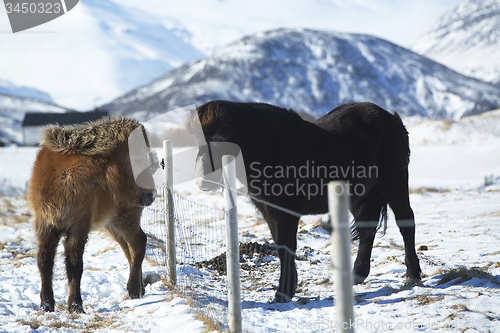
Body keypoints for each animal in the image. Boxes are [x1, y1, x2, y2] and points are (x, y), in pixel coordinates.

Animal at [27, 116, 156, 312]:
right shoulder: (45, 225)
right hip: (113, 224)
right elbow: (44, 261)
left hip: (124, 219)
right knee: (130, 249)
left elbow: (74, 265)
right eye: (138, 161)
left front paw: (75, 305)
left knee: (138, 243)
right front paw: (46, 304)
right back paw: (139, 288)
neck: (64, 179)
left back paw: (134, 289)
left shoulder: (78, 227)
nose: (150, 196)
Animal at [186, 99, 420, 300]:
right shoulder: (269, 212)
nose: (202, 180)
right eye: (196, 140)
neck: (269, 149)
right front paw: (287, 290)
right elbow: (280, 246)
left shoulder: (286, 213)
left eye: (220, 140)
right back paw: (356, 275)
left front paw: (283, 293)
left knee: (405, 222)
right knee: (367, 229)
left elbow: (286, 246)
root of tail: (390, 117)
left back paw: (413, 275)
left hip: (394, 183)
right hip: (362, 196)